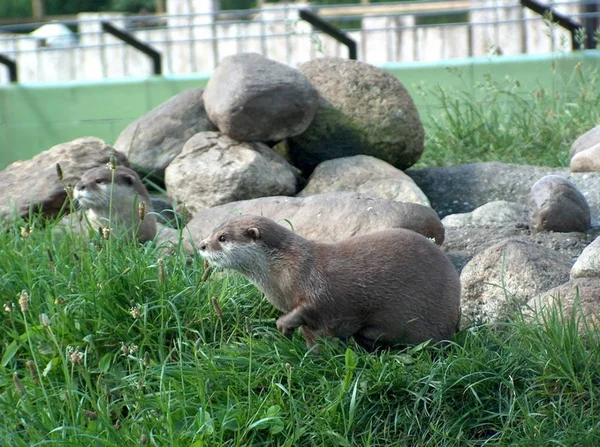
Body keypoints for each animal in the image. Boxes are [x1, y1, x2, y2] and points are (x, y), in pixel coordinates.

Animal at [199, 215, 462, 352]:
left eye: (223, 238)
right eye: (213, 231)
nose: (202, 245)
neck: (284, 272)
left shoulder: (317, 287)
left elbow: (312, 309)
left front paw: (284, 326)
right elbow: (309, 334)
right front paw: (311, 354)